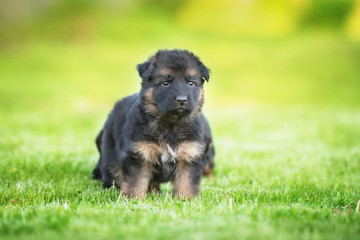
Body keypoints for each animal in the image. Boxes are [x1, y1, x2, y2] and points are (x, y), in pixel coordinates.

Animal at [91, 49, 214, 199]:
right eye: (165, 83)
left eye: (191, 83)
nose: (182, 100)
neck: (171, 124)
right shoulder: (139, 155)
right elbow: (135, 181)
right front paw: (132, 198)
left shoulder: (189, 155)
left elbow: (187, 182)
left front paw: (186, 199)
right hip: (110, 155)